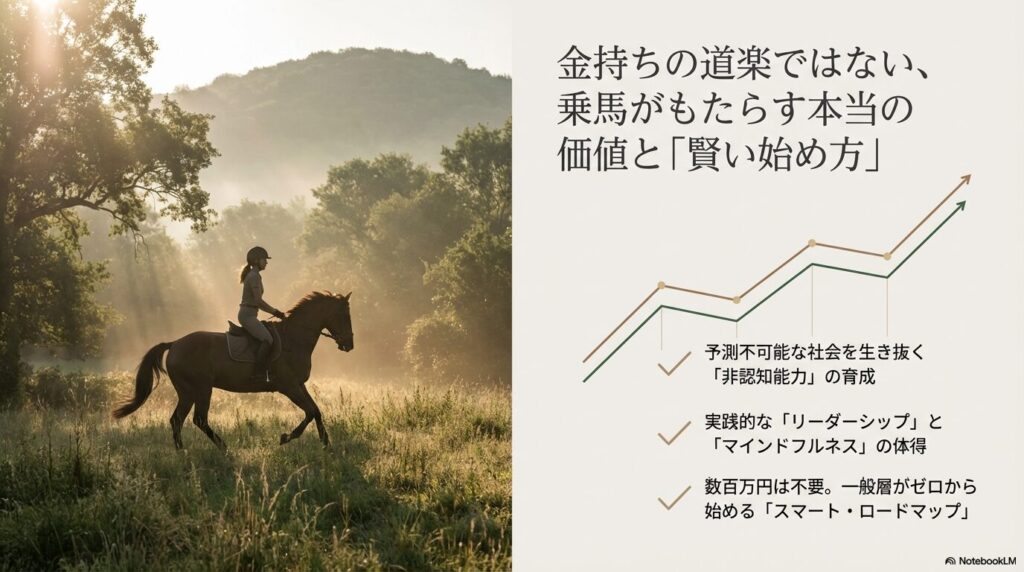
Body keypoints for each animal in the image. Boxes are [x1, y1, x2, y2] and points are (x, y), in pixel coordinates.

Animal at [111, 291, 354, 450]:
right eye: (344, 315)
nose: (349, 345)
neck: (293, 339)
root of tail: (175, 344)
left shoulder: (299, 385)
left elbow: (316, 411)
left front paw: (326, 444)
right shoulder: (289, 386)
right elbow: (311, 411)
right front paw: (287, 437)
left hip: (189, 392)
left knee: (178, 420)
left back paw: (183, 451)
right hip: (199, 389)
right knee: (197, 419)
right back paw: (221, 447)